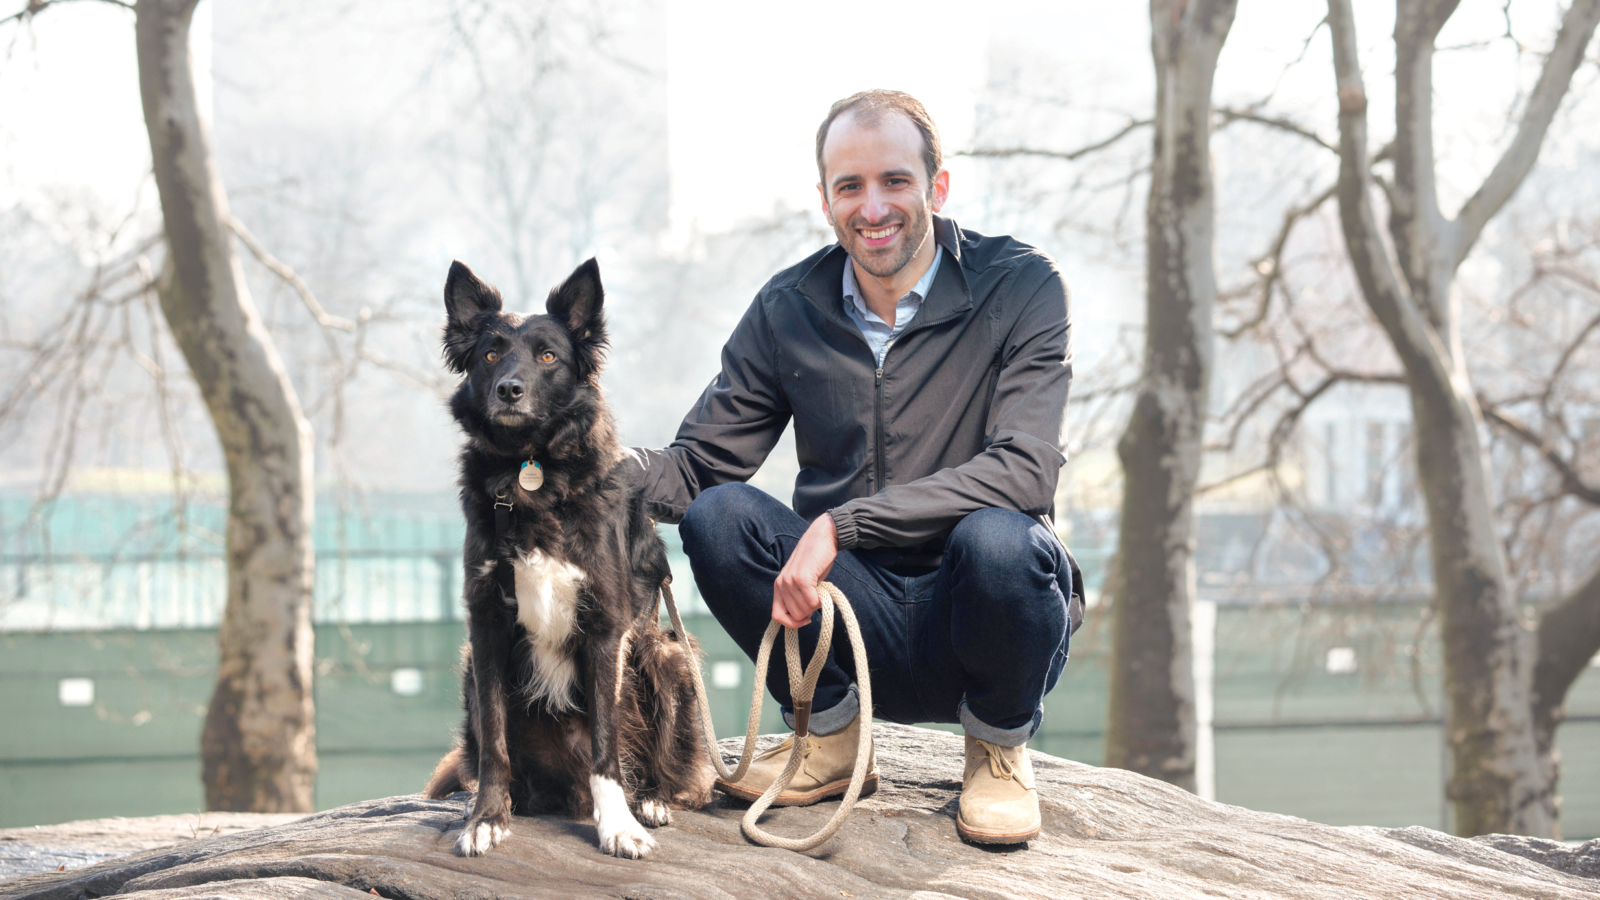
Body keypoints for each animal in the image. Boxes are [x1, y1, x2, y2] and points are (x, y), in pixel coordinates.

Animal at [422, 257, 710, 851]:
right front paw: (486, 818)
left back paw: (650, 800)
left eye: (548, 356)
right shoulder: (486, 623)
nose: (508, 389)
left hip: (667, 654)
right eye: (490, 354)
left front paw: (617, 826)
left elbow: (606, 744)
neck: (531, 468)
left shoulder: (605, 627)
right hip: (470, 669)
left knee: (677, 777)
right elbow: (494, 743)